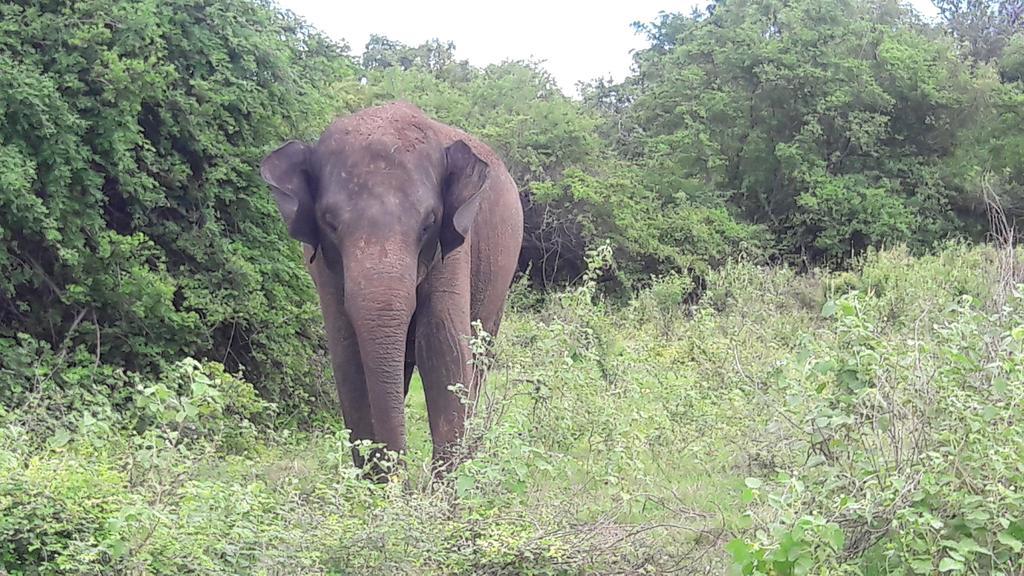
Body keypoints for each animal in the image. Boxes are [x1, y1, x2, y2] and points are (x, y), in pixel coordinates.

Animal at [260, 100, 524, 473]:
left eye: (429, 223)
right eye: (330, 223)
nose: (404, 477)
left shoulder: (455, 246)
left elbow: (442, 347)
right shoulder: (323, 266)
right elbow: (348, 356)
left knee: (479, 354)